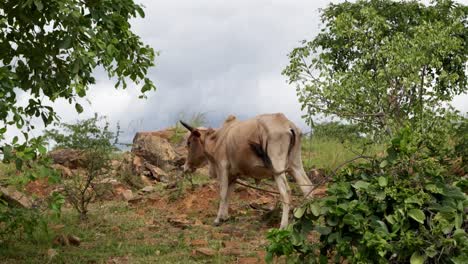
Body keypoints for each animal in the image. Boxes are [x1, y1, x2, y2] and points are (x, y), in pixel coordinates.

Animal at [181, 112, 312, 228]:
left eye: (189, 142)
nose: (186, 167)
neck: (217, 138)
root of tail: (287, 124)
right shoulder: (233, 176)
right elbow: (228, 195)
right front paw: (225, 217)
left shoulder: (223, 168)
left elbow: (223, 194)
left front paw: (218, 219)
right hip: (295, 165)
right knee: (307, 188)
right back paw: (309, 219)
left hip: (277, 168)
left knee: (286, 193)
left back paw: (283, 226)